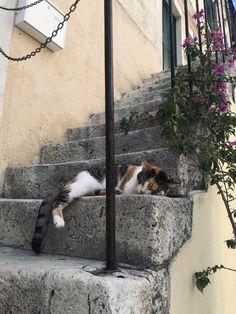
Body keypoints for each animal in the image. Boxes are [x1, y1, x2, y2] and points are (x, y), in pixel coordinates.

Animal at [31, 161, 176, 254]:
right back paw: (59, 221)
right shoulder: (129, 187)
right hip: (81, 185)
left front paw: (162, 192)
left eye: (151, 187)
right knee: (58, 201)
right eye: (142, 180)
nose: (141, 191)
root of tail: (72, 178)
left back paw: (112, 191)